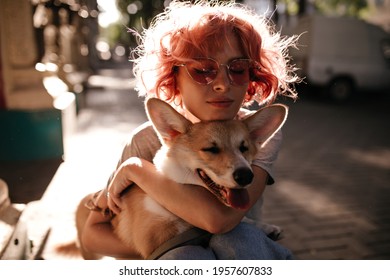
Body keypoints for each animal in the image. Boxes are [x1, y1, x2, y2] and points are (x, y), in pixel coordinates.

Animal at [77, 99, 288, 260]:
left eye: (244, 148)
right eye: (211, 149)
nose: (246, 175)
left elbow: (244, 221)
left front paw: (267, 227)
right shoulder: (156, 237)